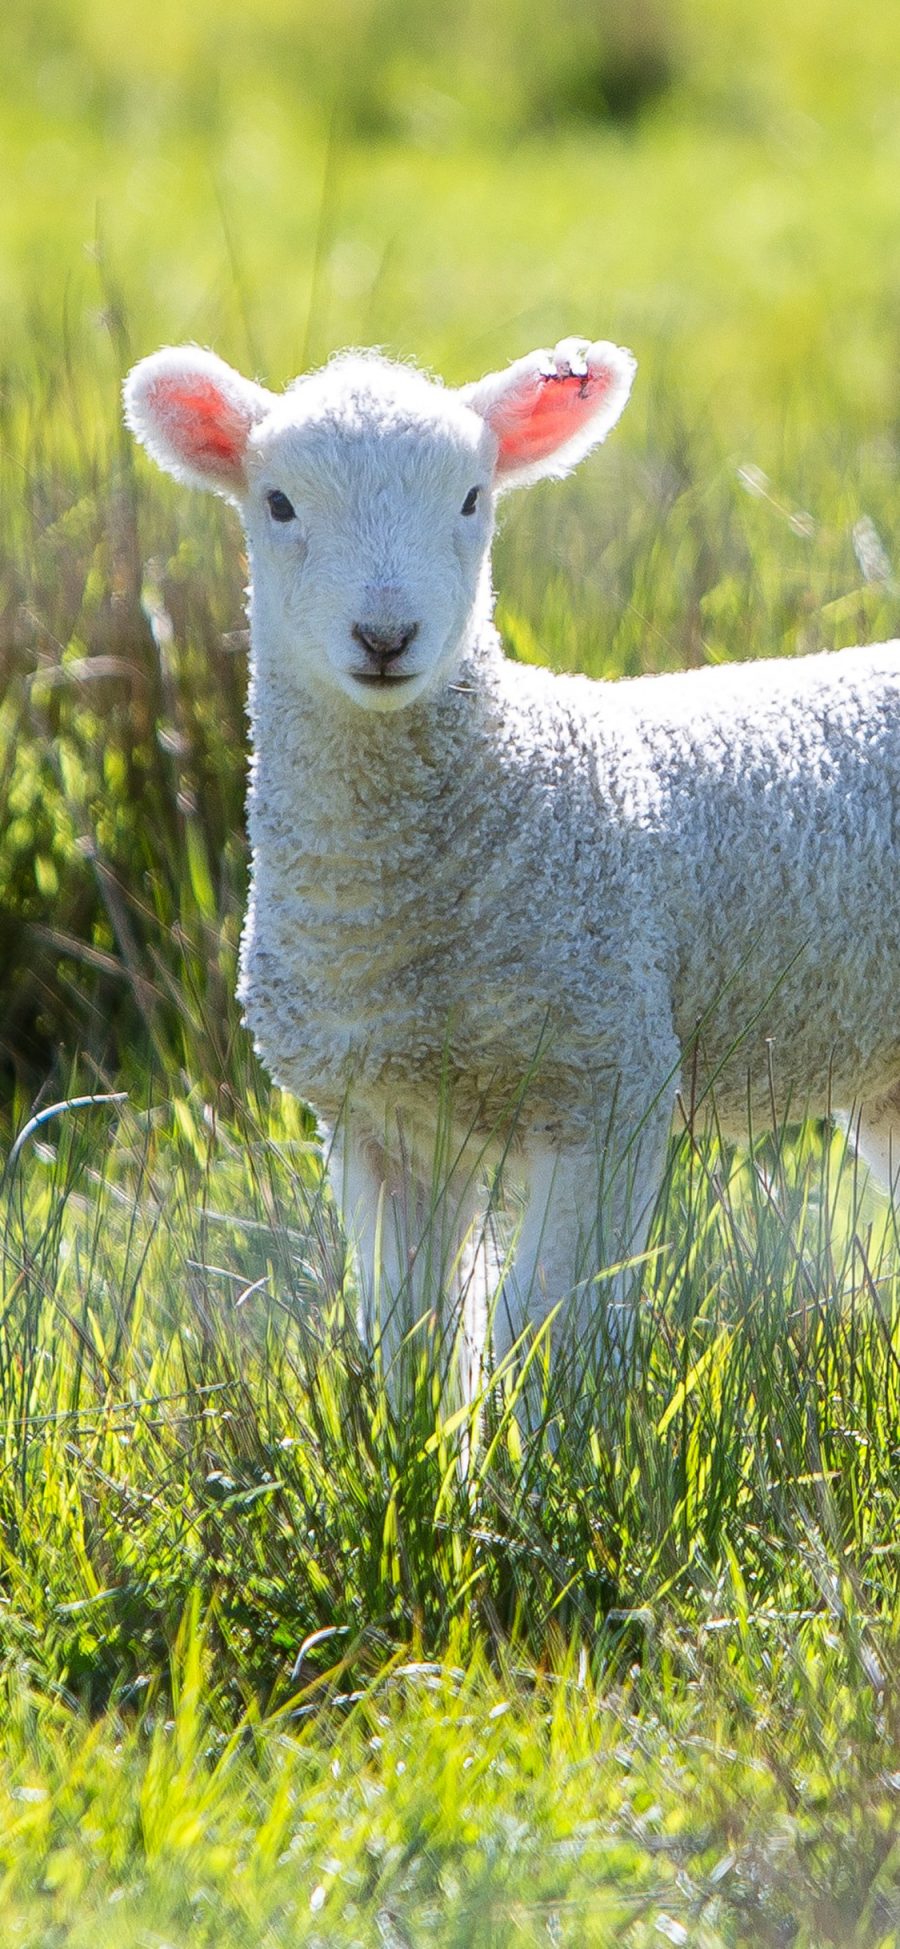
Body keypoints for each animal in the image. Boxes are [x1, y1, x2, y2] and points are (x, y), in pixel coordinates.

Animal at [123, 331, 900, 1387]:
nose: (385, 635)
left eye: (471, 498)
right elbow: (407, 1328)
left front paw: (550, 1431)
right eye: (277, 503)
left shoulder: (607, 1077)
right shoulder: (375, 1117)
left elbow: (545, 1321)